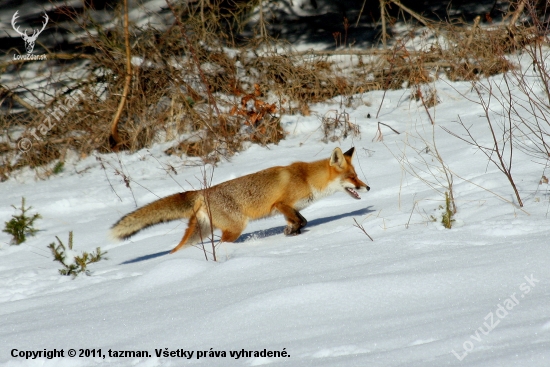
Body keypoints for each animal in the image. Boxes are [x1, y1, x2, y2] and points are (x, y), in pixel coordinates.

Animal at [111, 147, 370, 253]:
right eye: (352, 177)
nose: (367, 187)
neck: (307, 179)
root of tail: (202, 191)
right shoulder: (281, 204)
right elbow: (300, 220)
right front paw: (292, 232)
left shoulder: (290, 208)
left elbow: (300, 221)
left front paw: (291, 232)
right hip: (234, 228)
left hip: (200, 232)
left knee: (177, 250)